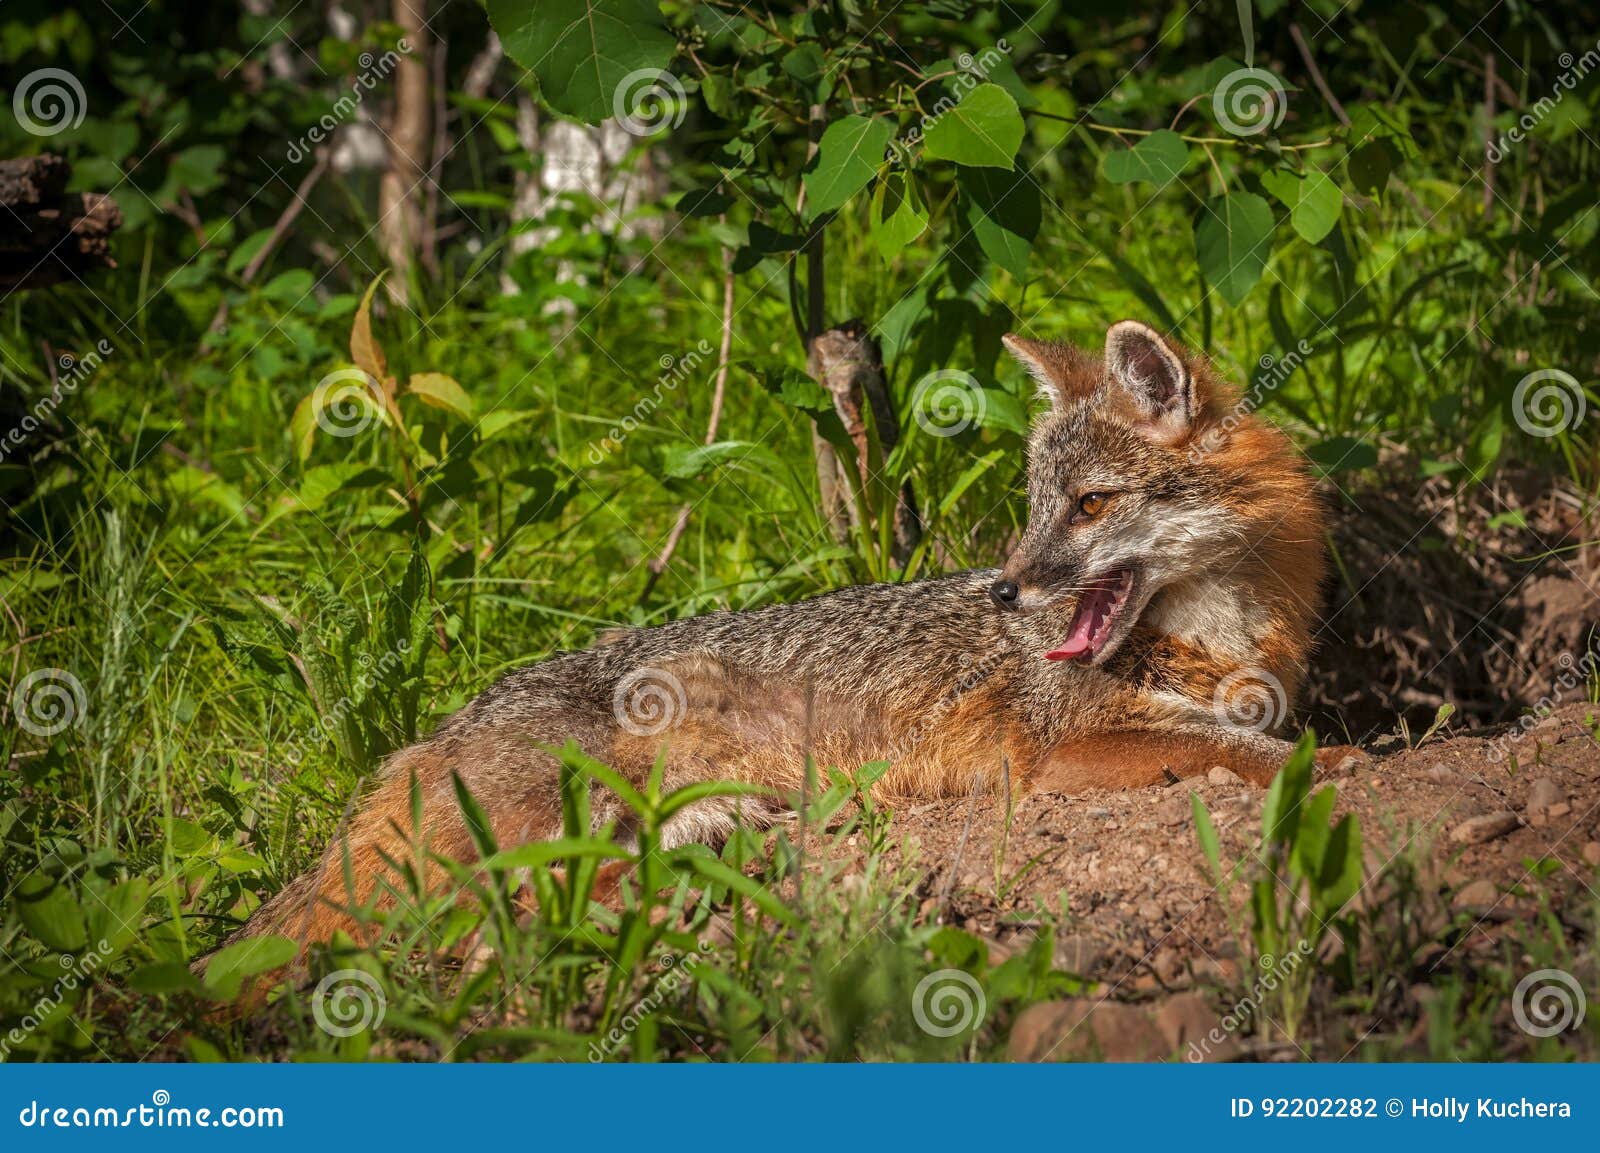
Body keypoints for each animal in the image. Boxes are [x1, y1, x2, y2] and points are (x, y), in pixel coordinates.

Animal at [228, 319, 1350, 959]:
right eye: (1035, 507)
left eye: (1090, 504)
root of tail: (436, 728)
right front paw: (1340, 765)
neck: (1219, 640)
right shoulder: (1059, 748)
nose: (1003, 588)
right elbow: (1242, 747)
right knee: (487, 910)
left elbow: (1255, 734)